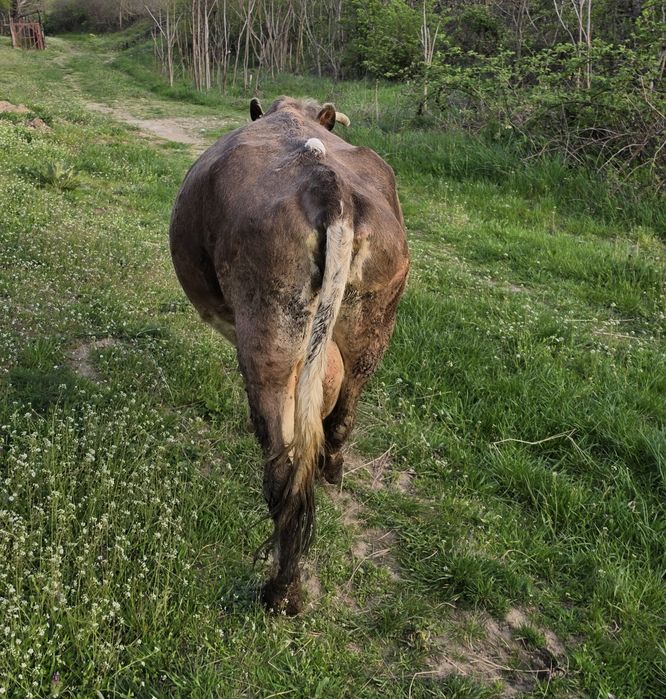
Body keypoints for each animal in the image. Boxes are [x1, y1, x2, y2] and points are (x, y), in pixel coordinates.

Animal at [169, 96, 409, 614]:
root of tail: (329, 188)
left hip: (269, 333)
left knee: (282, 470)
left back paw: (282, 591)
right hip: (374, 321)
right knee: (341, 414)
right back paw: (331, 472)